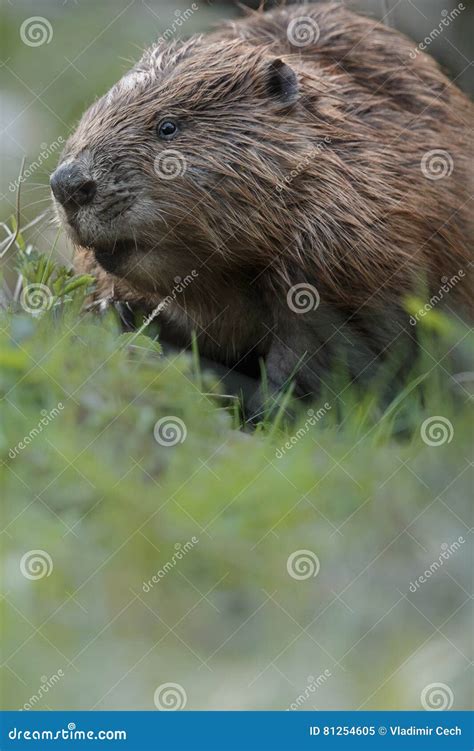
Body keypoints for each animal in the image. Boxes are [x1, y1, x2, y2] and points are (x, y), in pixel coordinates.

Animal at [50, 1, 472, 412]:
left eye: (168, 127)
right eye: (91, 115)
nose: (68, 185)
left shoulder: (347, 255)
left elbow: (328, 350)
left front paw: (268, 402)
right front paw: (114, 312)